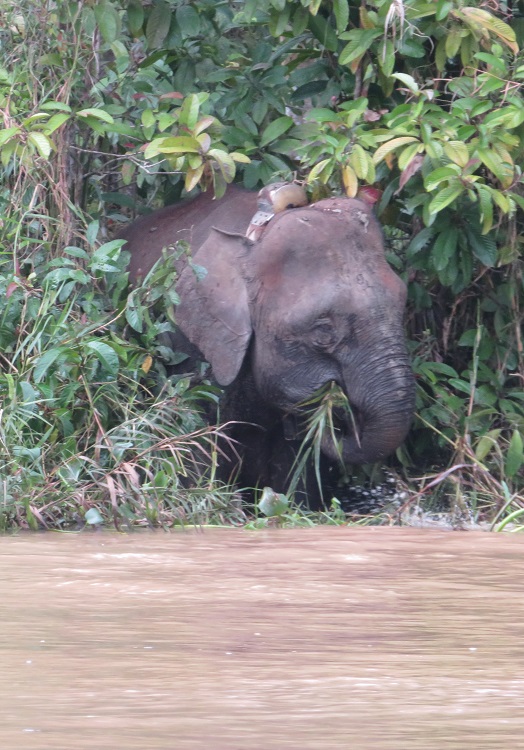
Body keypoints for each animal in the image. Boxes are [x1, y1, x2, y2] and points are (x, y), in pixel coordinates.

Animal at [119, 184, 416, 507]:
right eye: (323, 329)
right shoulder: (186, 346)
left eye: (402, 302)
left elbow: (292, 465)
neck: (254, 236)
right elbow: (194, 440)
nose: (337, 407)